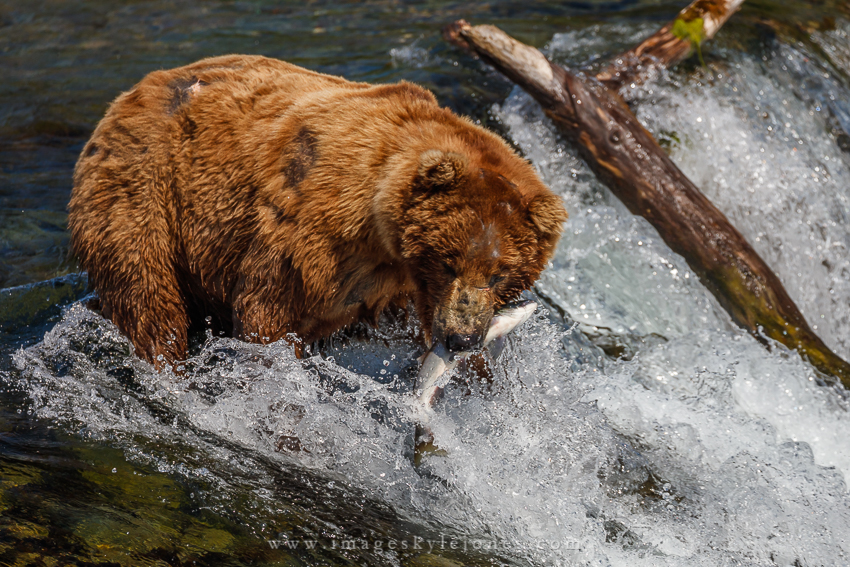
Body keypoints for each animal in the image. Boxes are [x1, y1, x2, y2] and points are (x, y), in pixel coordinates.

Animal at [68, 55, 567, 369]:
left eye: (500, 274)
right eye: (449, 261)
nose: (461, 339)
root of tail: (131, 92)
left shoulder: (399, 286)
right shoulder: (307, 234)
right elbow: (267, 314)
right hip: (146, 190)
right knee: (149, 299)